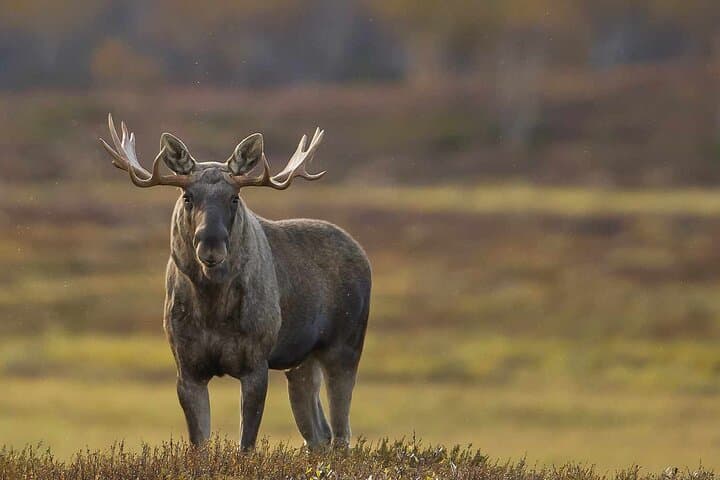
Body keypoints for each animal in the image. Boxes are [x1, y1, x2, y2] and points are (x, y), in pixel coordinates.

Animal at [99, 114, 371, 451]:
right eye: (187, 197)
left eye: (234, 197)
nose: (211, 245)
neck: (211, 309)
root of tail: (362, 255)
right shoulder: (187, 369)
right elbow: (199, 445)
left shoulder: (255, 364)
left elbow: (246, 446)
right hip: (301, 362)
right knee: (319, 434)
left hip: (344, 347)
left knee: (341, 434)